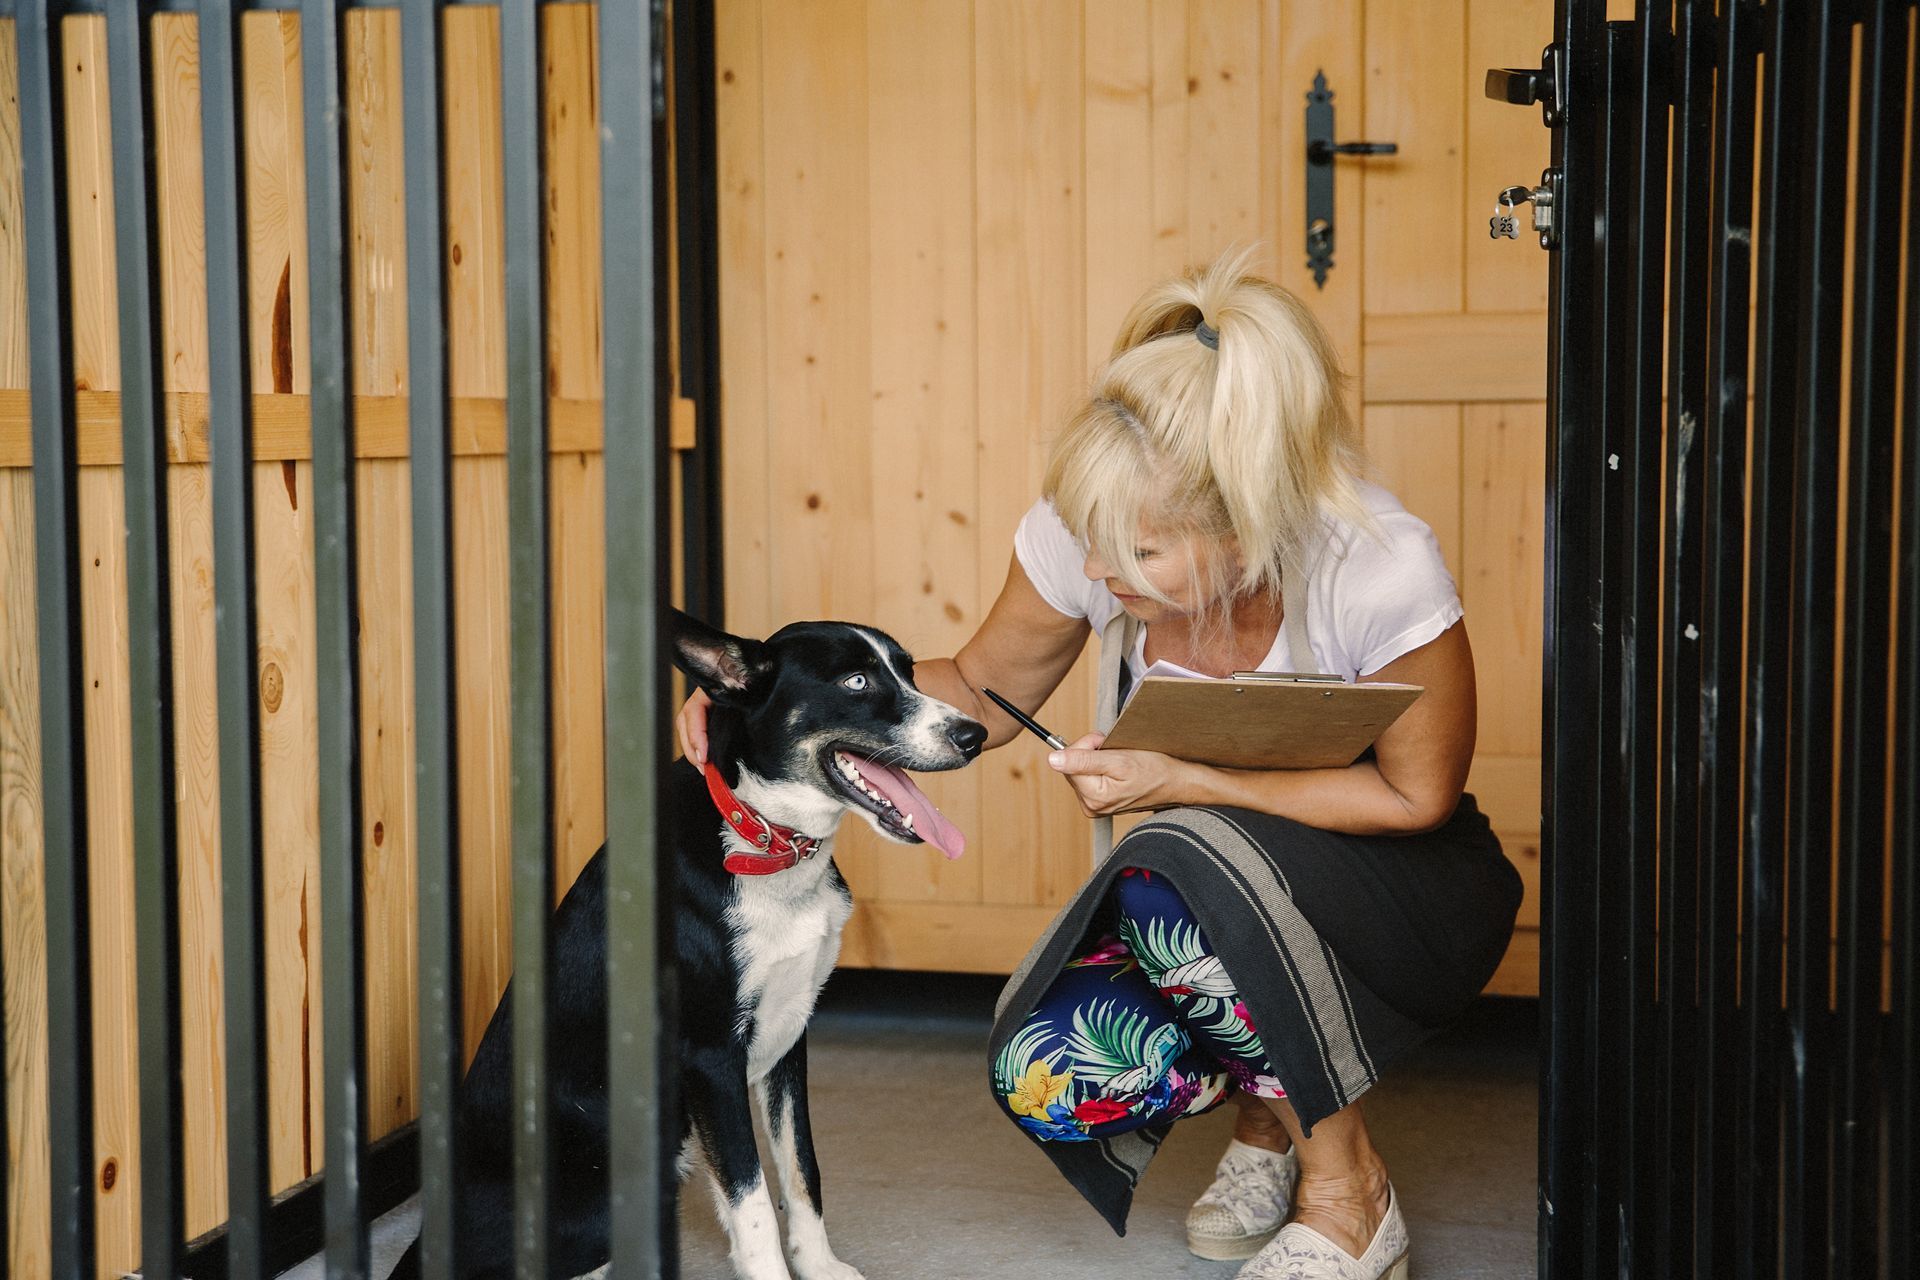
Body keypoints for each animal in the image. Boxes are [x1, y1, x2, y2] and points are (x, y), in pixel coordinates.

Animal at [391, 610, 990, 1280]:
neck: (762, 841)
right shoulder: (711, 1057)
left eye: (908, 672)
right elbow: (752, 1200)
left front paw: (820, 1266)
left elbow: (800, 1173)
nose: (974, 733)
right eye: (855, 681)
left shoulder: (789, 1038)